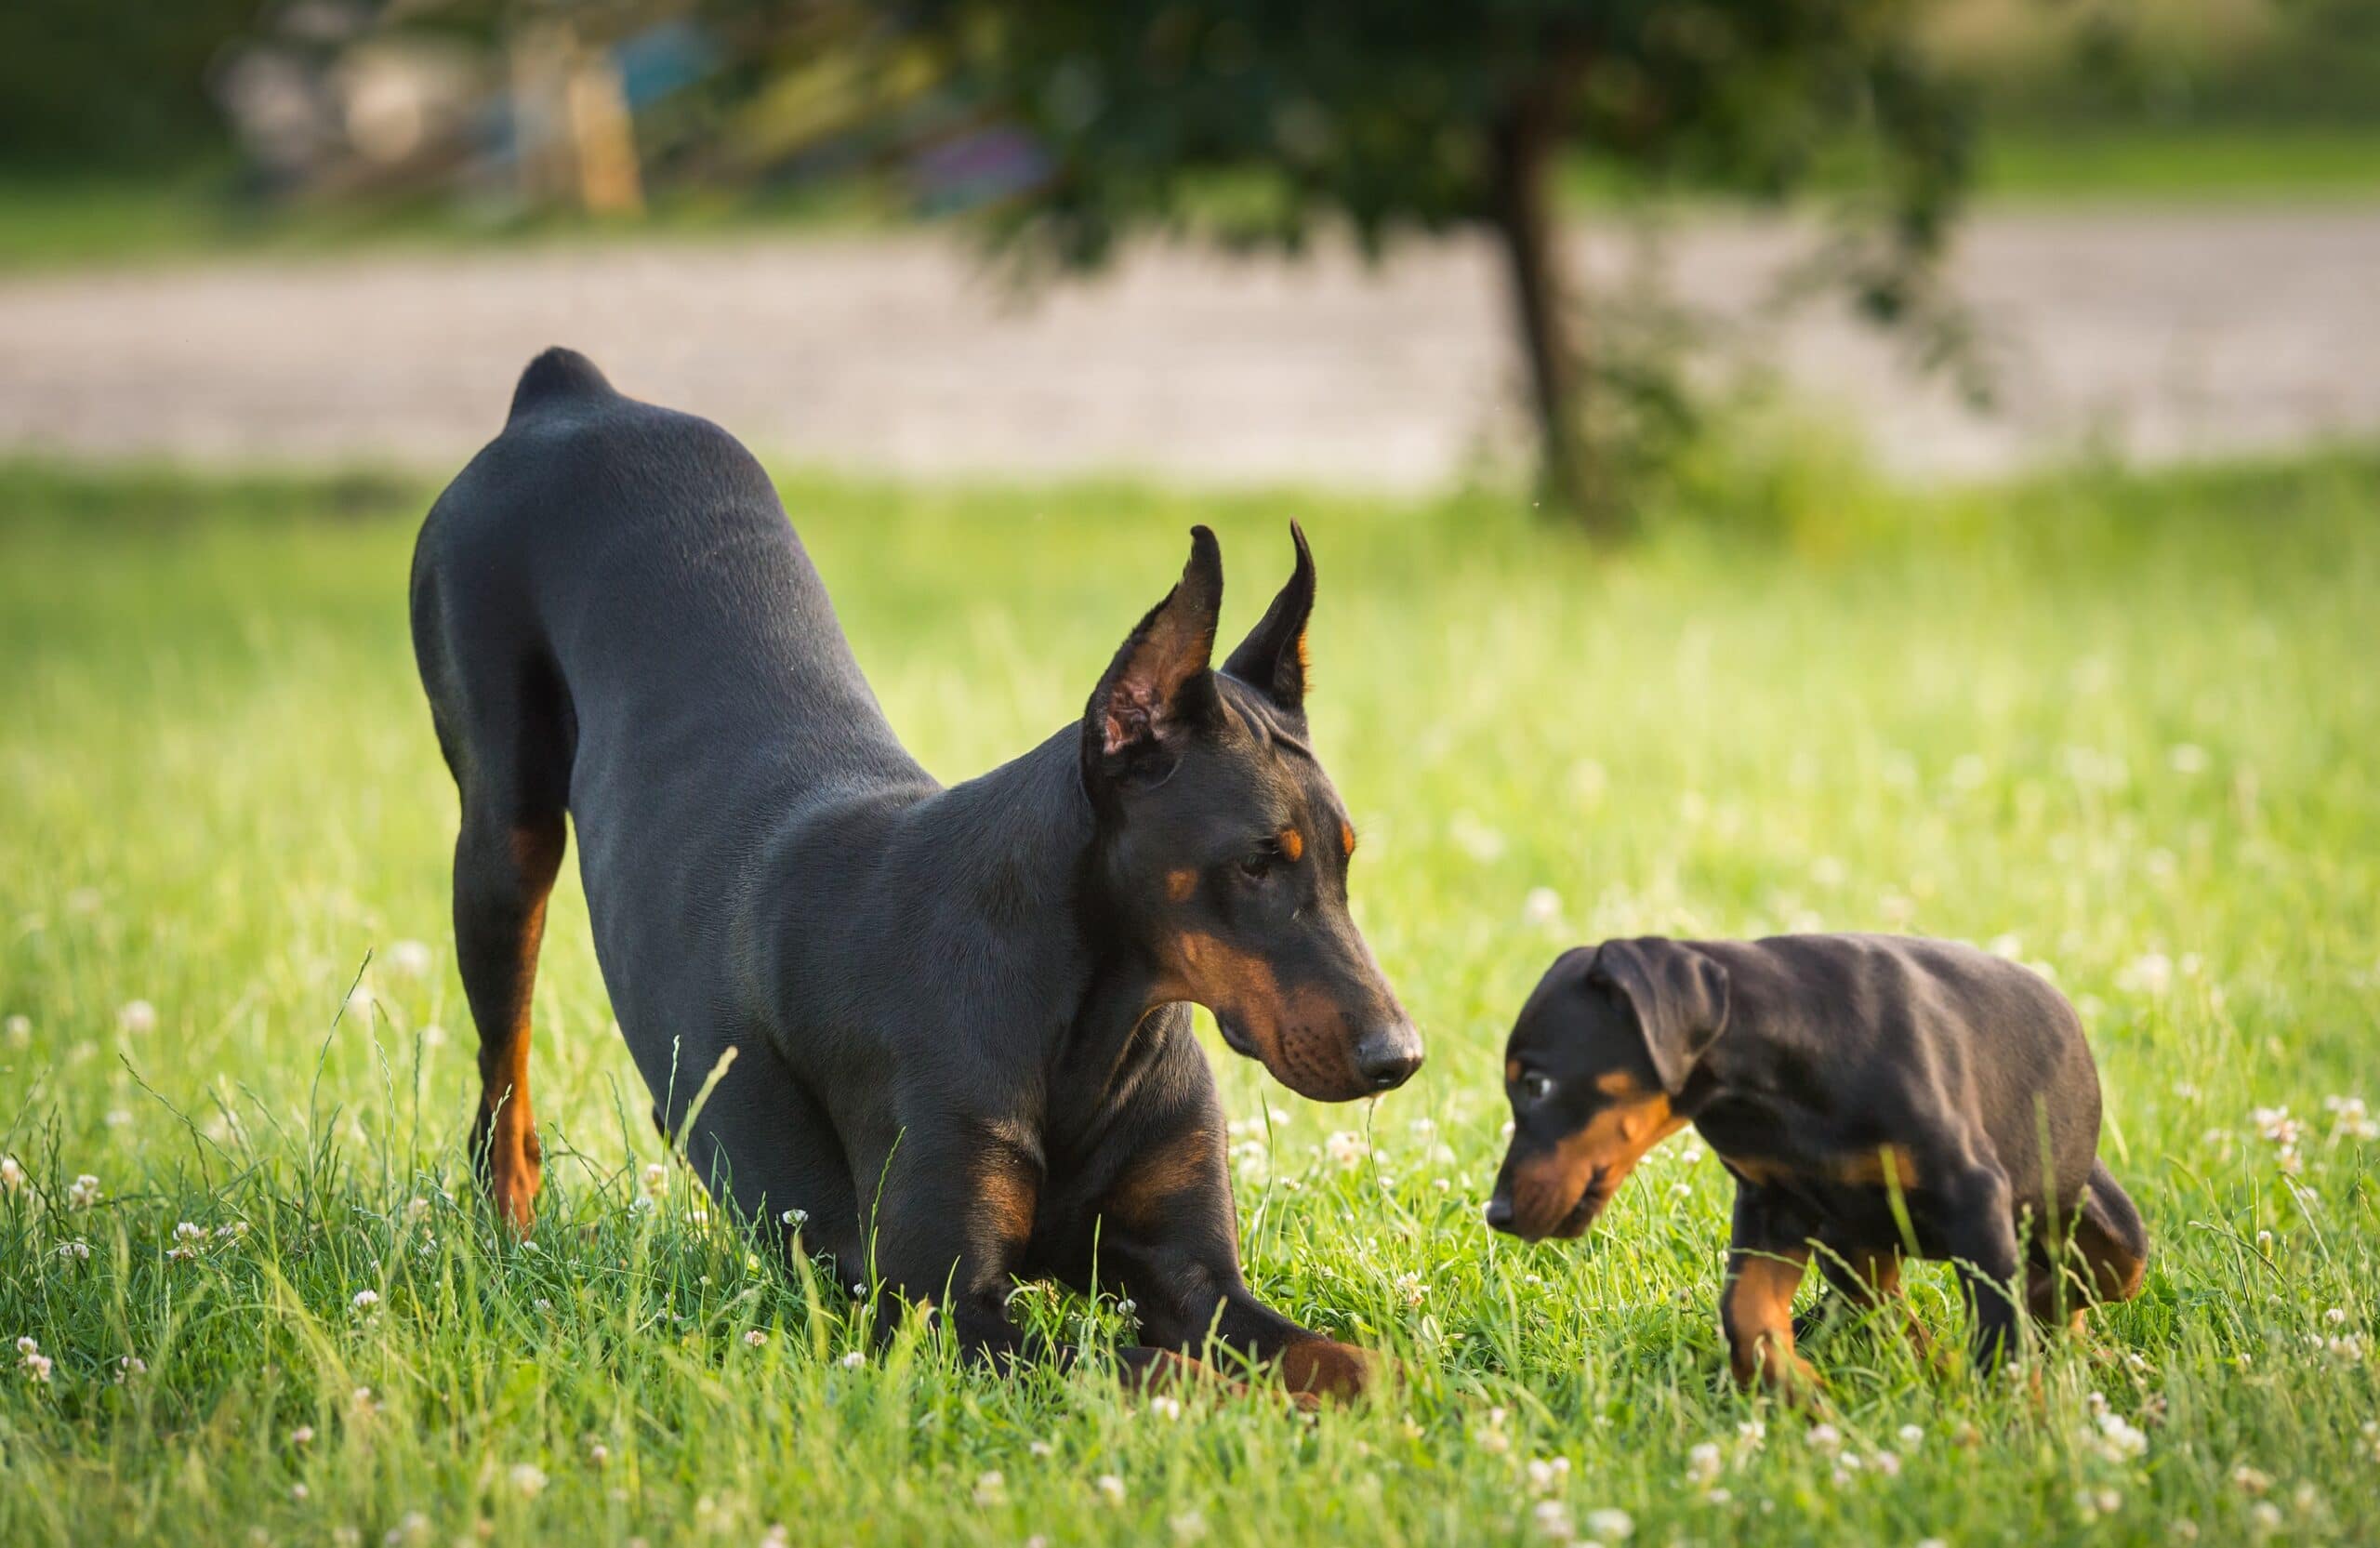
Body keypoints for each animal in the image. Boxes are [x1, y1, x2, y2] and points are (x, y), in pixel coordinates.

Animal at [411, 354, 1418, 1390]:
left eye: (1344, 856)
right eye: (1256, 859)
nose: (1402, 1057)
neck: (1087, 1023)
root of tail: (571, 393)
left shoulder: (1195, 1273)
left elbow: (1353, 1364)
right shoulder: (939, 1310)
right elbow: (1157, 1370)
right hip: (502, 835)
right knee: (501, 1076)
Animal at [1485, 929, 2142, 1390]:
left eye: (1537, 1085)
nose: (1496, 1213)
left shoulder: (1974, 1198)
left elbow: (2002, 1336)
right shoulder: (1773, 1204)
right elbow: (1746, 1314)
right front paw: (1802, 1395)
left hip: (2100, 1223)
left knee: (2077, 1280)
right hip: (1851, 1243)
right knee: (1891, 1308)